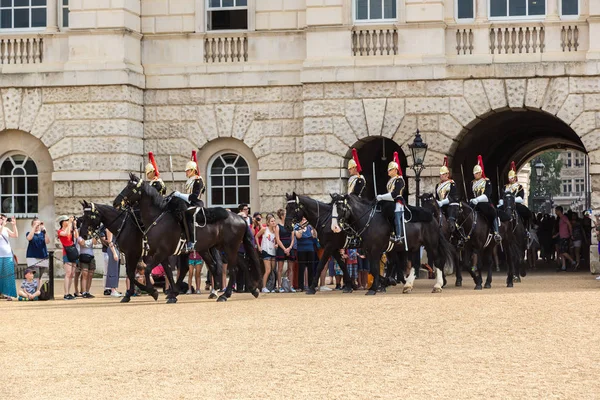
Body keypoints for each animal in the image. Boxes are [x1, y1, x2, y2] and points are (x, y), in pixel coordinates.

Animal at [113, 173, 262, 302]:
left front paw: (154, 292)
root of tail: (240, 218)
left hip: (229, 247)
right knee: (235, 265)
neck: (156, 217)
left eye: (130, 187)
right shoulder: (159, 253)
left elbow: (148, 270)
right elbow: (166, 271)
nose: (116, 203)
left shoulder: (158, 252)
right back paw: (251, 290)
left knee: (232, 268)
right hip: (222, 248)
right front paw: (171, 293)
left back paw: (225, 294)